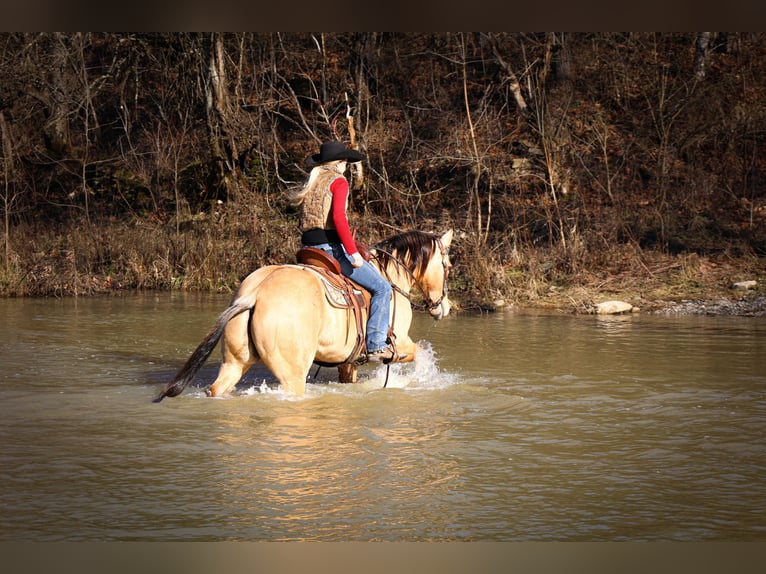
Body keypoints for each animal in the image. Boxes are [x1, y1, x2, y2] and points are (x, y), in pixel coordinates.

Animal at [155, 227, 452, 402]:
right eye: (448, 265)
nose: (444, 307)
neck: (391, 278)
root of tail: (256, 293)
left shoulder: (348, 362)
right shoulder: (400, 345)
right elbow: (421, 353)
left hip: (235, 363)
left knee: (218, 387)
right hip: (292, 375)